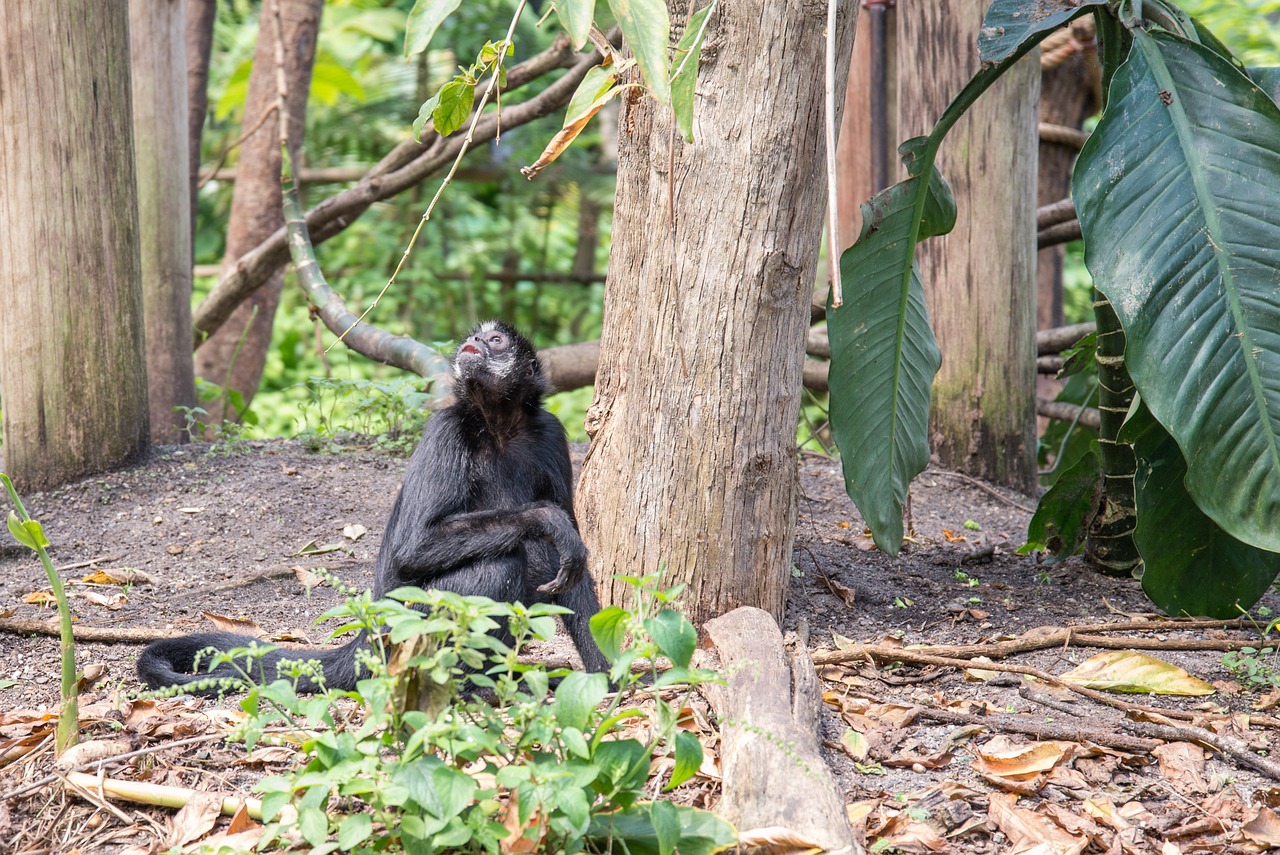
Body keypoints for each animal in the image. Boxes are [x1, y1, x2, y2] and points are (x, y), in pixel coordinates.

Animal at [137, 319, 606, 696]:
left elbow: (573, 569)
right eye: (477, 335)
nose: (474, 341)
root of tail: (369, 637)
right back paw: (470, 688)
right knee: (501, 561)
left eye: (495, 340)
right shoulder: (447, 428)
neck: (499, 425)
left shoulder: (549, 433)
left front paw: (608, 676)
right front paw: (548, 520)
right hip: (407, 629)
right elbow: (415, 547)